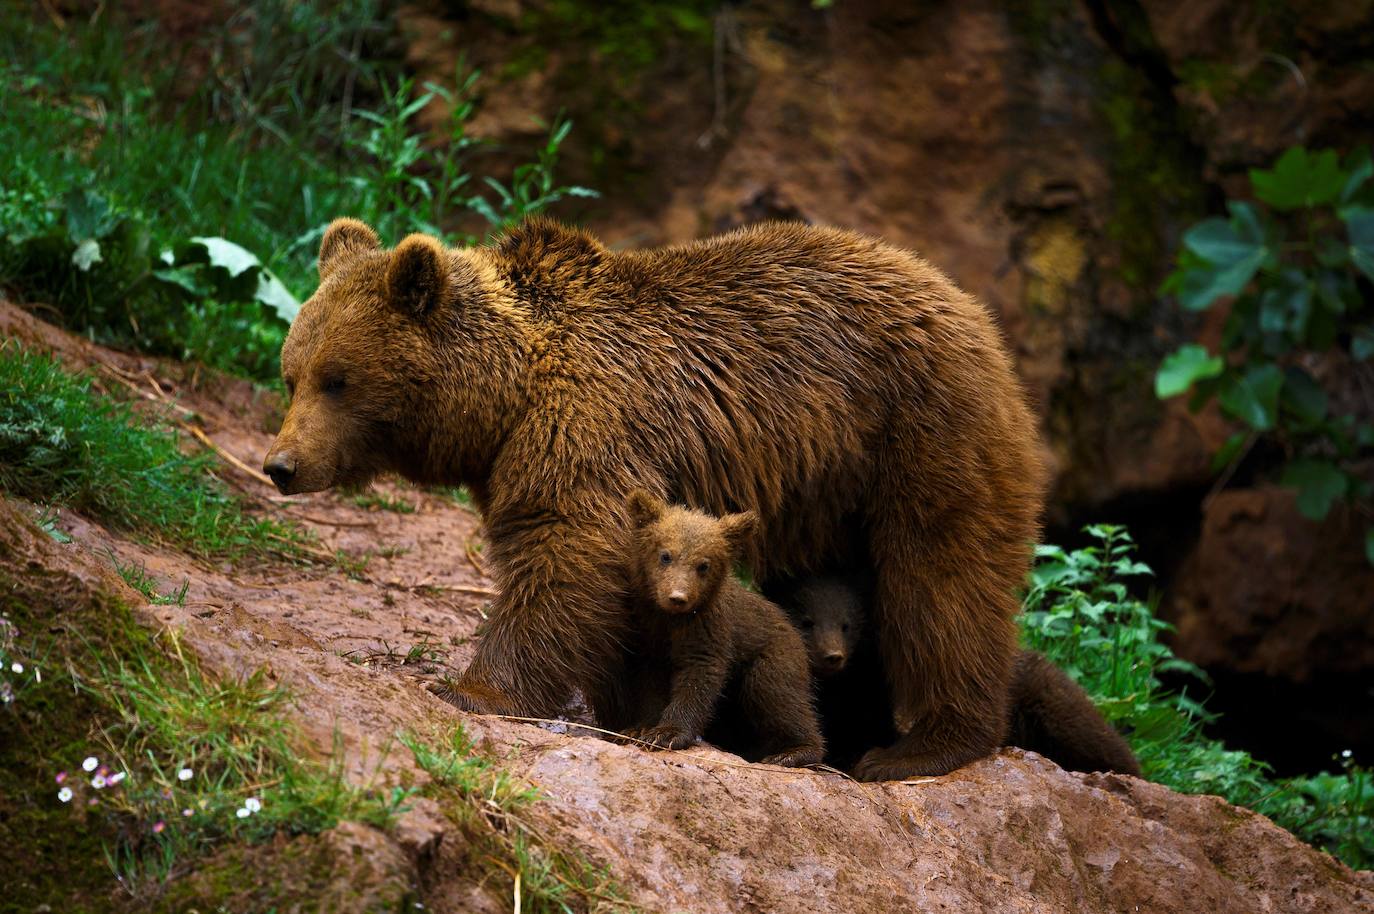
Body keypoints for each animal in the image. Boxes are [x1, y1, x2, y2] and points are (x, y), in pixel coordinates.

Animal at [262, 215, 1044, 775]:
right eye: (291, 372)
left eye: (338, 379)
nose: (281, 465)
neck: (506, 398)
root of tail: (976, 315)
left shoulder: (587, 429)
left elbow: (567, 555)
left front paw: (472, 688)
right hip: (832, 492)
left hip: (920, 437)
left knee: (941, 585)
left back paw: (922, 745)